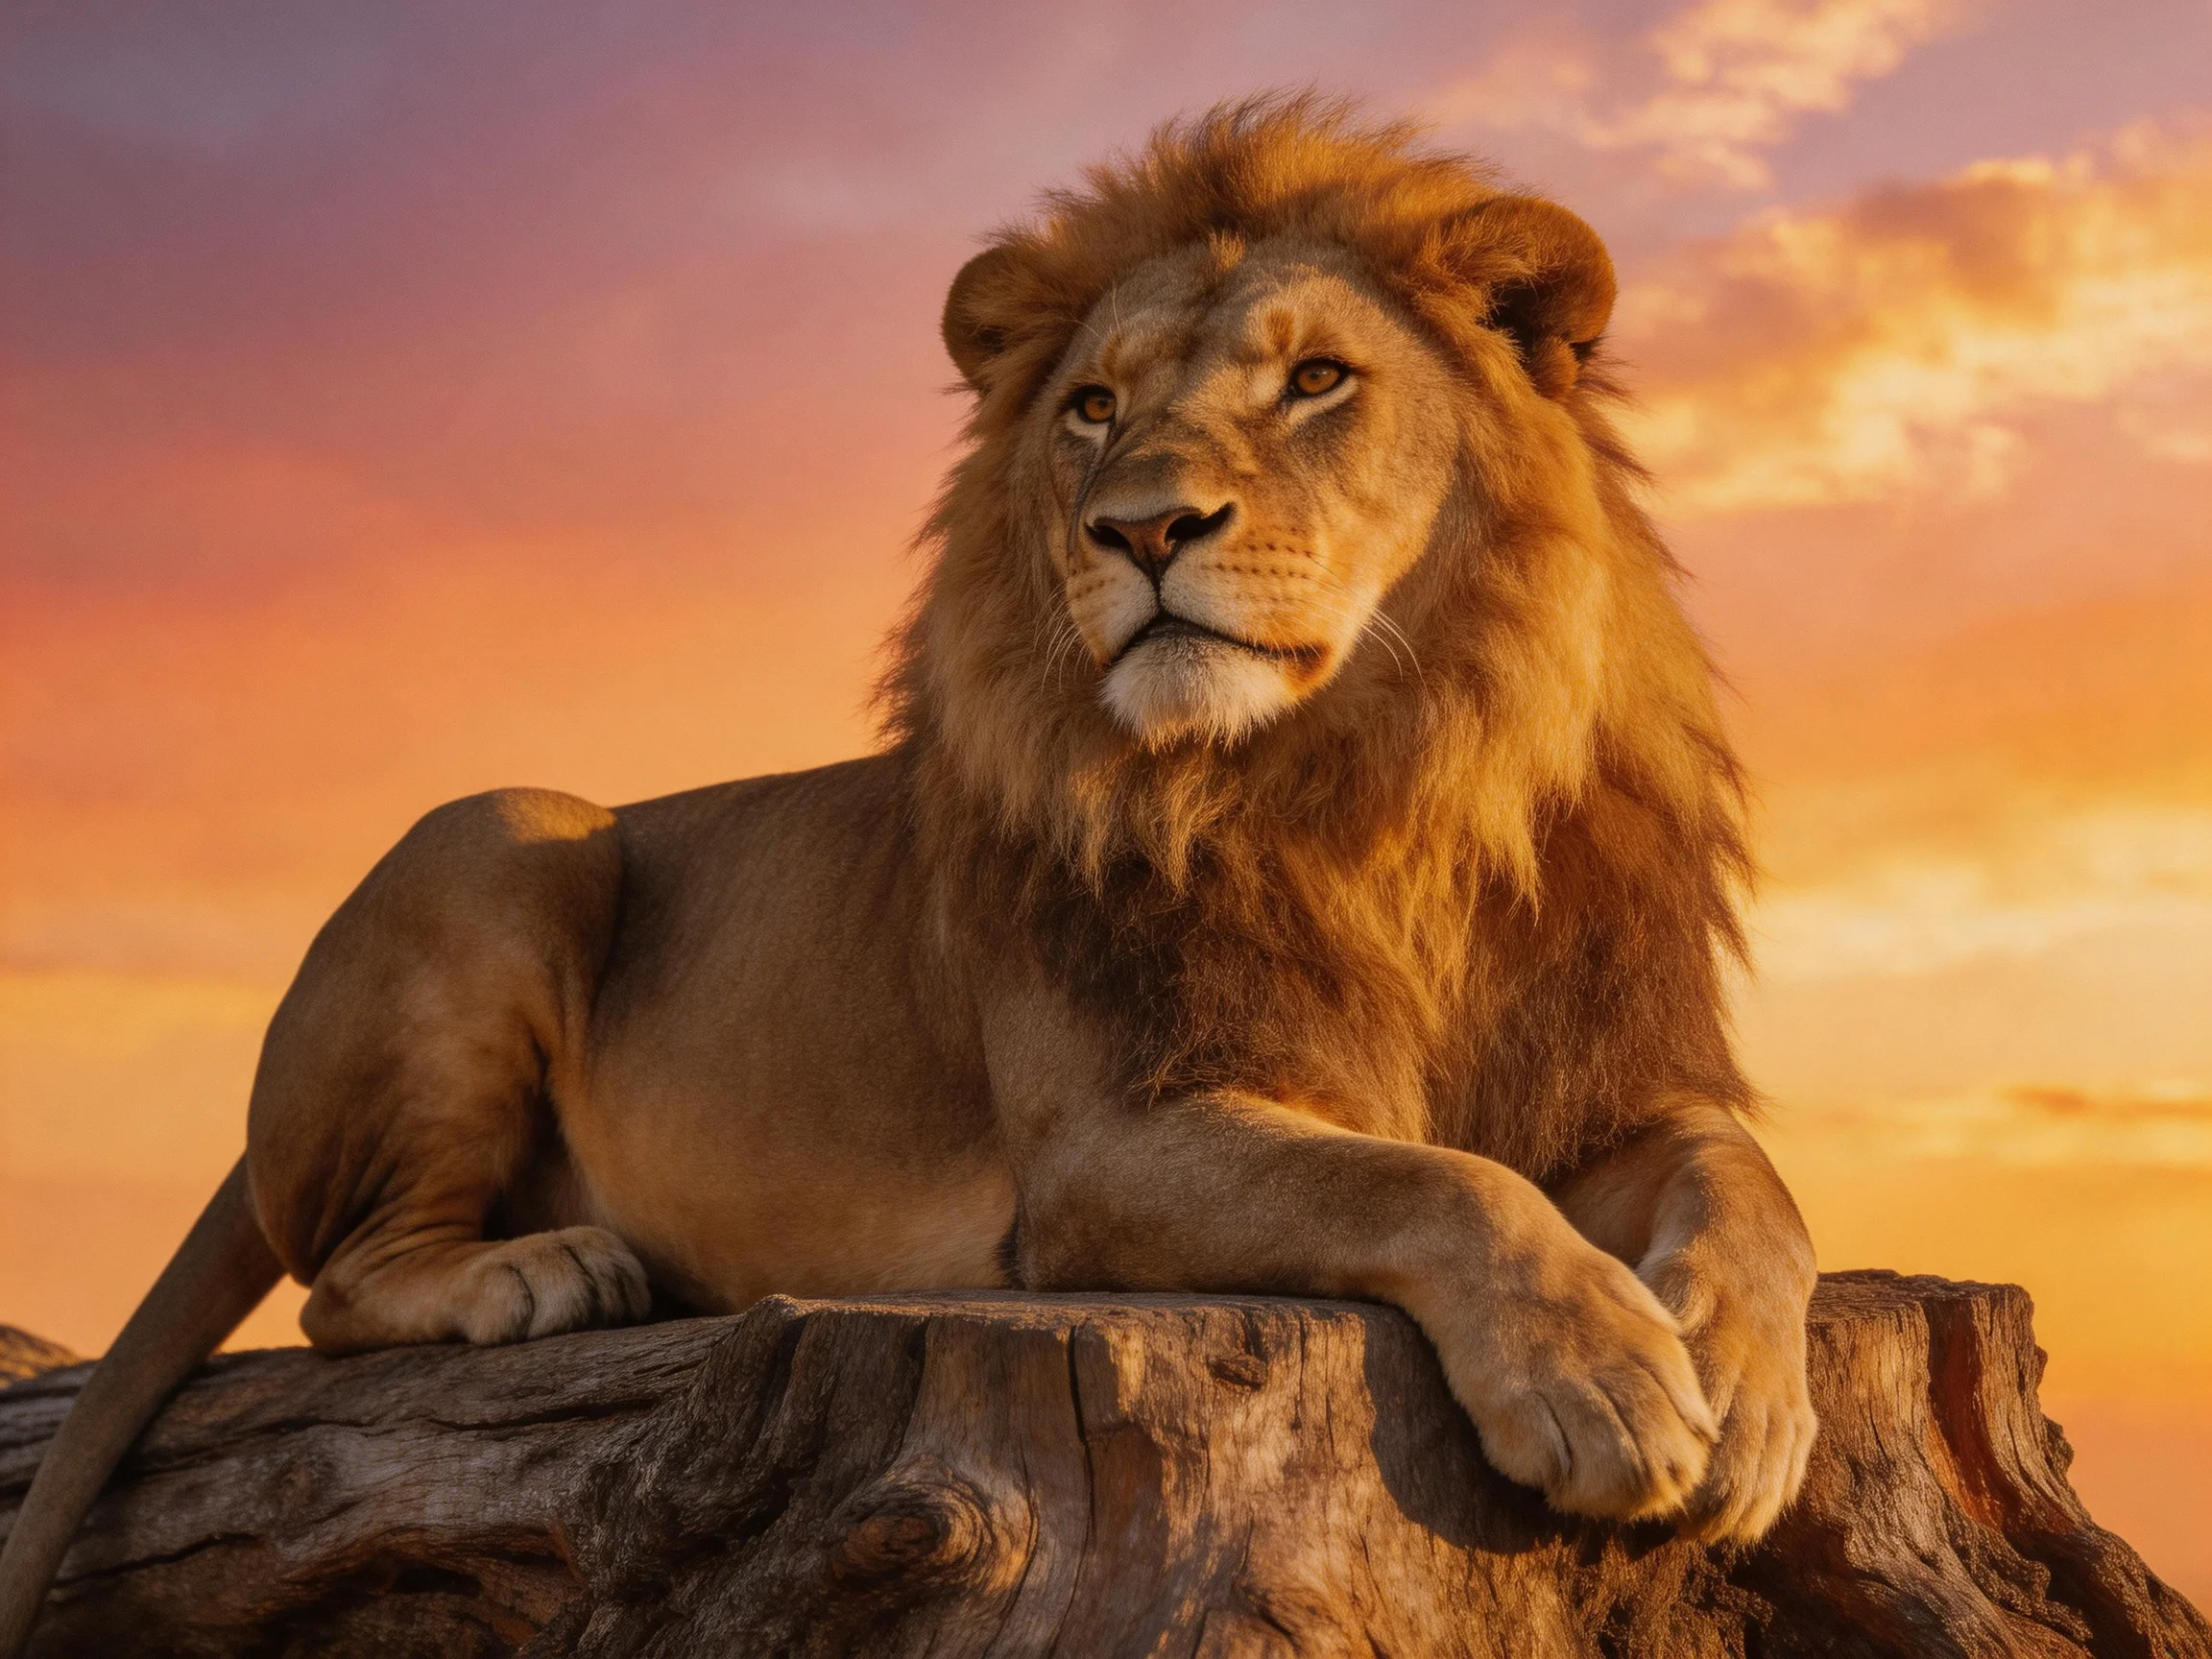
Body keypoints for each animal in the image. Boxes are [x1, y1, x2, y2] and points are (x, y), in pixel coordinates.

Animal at [0, 97, 1818, 1649]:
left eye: (1316, 379)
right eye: (1092, 408)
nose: (1140, 528)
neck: (1373, 790)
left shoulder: (1604, 1086)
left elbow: (1751, 1187)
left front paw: (1738, 1393)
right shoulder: (1109, 1145)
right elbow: (1429, 1183)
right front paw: (1603, 1382)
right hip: (505, 826)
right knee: (335, 1285)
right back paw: (543, 1270)